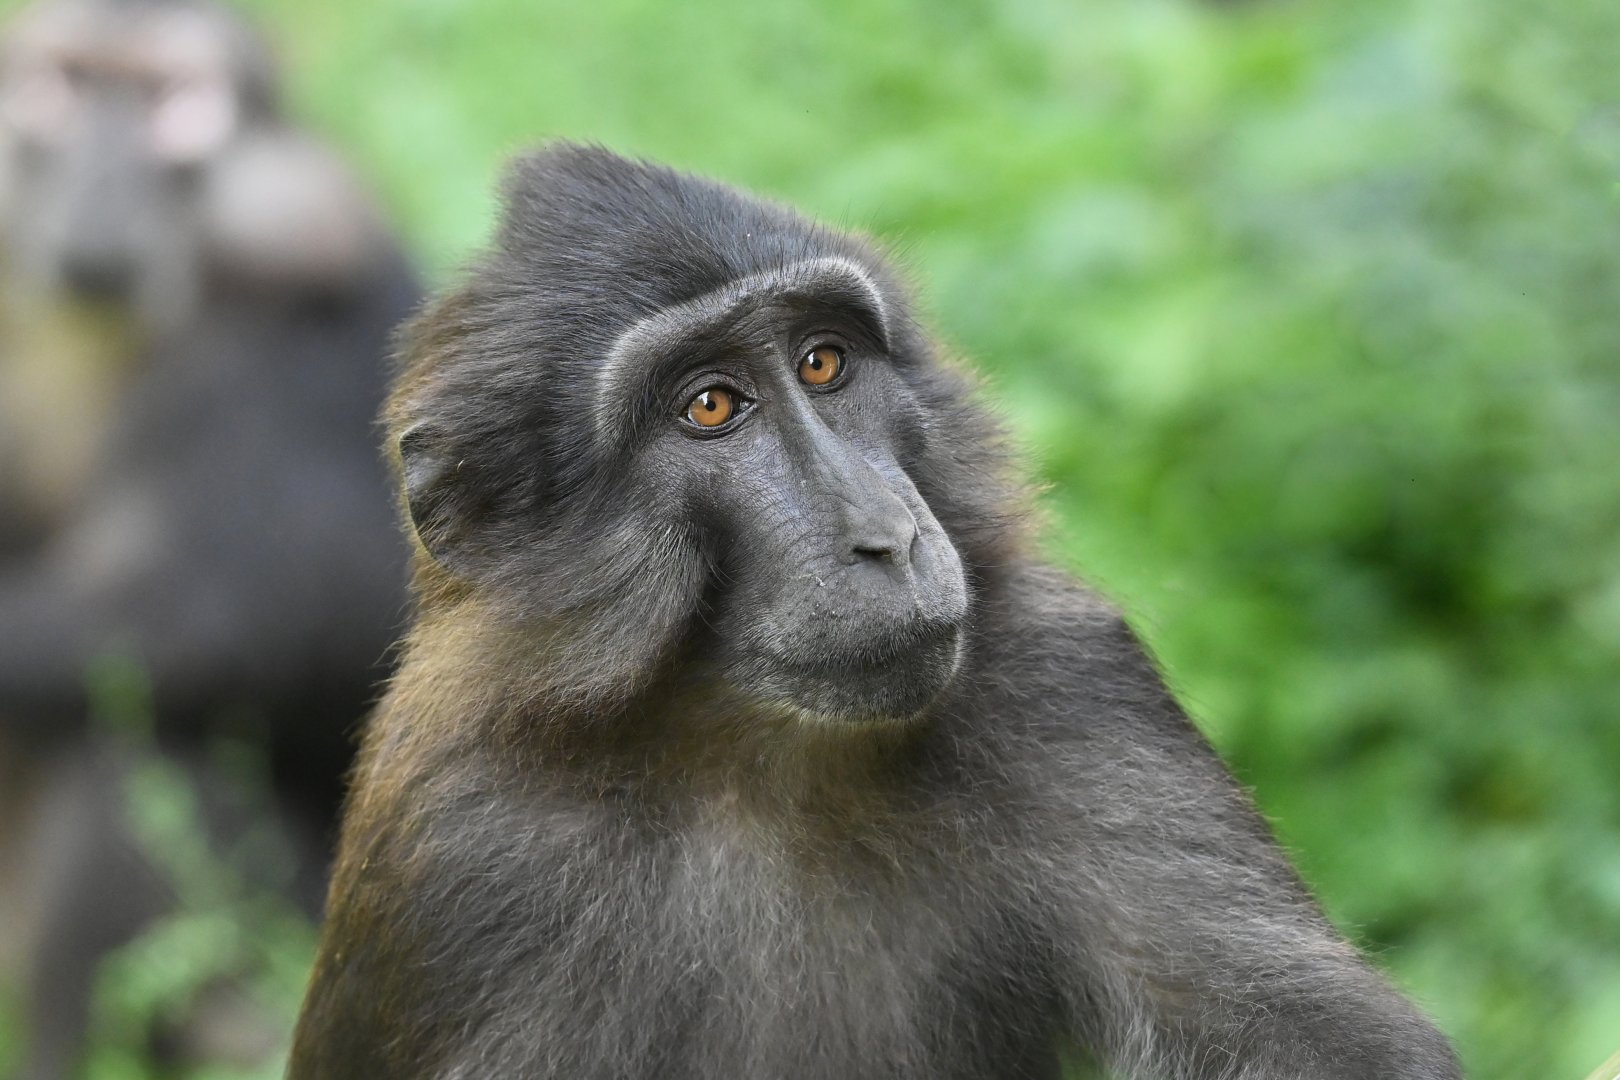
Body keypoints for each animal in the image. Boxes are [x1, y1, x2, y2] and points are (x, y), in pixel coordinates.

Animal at [0, 0, 420, 1074]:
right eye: (62, 85)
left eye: (174, 106)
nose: (101, 199)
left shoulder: (283, 356)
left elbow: (216, 617)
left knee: (132, 745)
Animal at [288, 143, 1462, 1080]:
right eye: (709, 406)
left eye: (823, 361)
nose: (887, 538)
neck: (746, 753)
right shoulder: (460, 850)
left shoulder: (1069, 682)